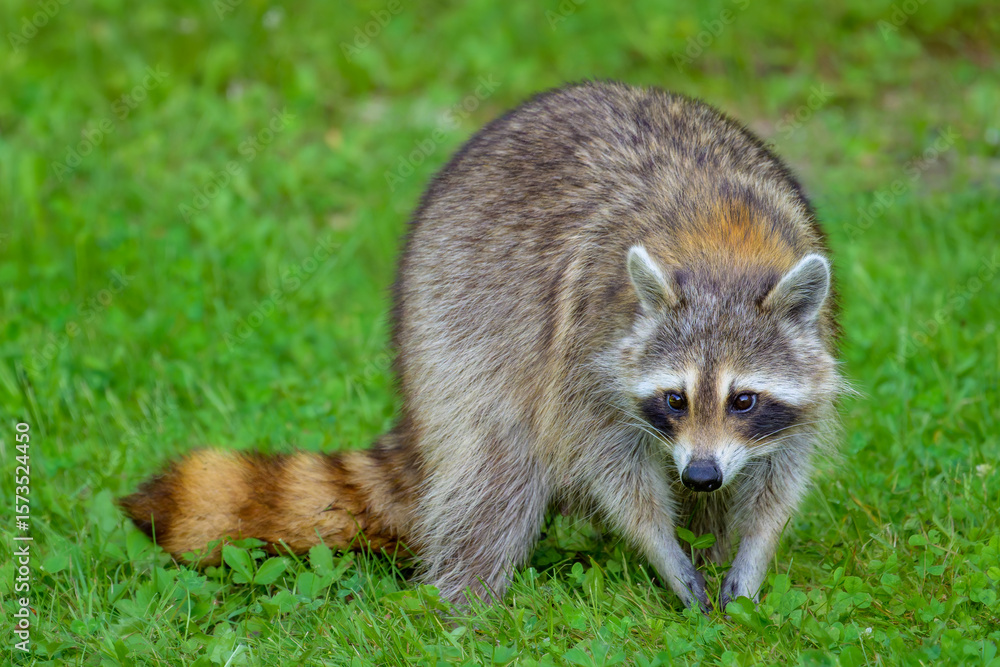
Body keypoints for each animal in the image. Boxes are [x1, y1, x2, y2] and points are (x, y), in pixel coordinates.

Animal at [120, 80, 843, 611]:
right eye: (674, 397)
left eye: (744, 399)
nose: (700, 471)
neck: (722, 247)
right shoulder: (585, 343)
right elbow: (609, 459)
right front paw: (662, 546)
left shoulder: (810, 344)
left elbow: (782, 463)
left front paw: (750, 549)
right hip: (454, 327)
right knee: (497, 470)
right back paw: (463, 600)